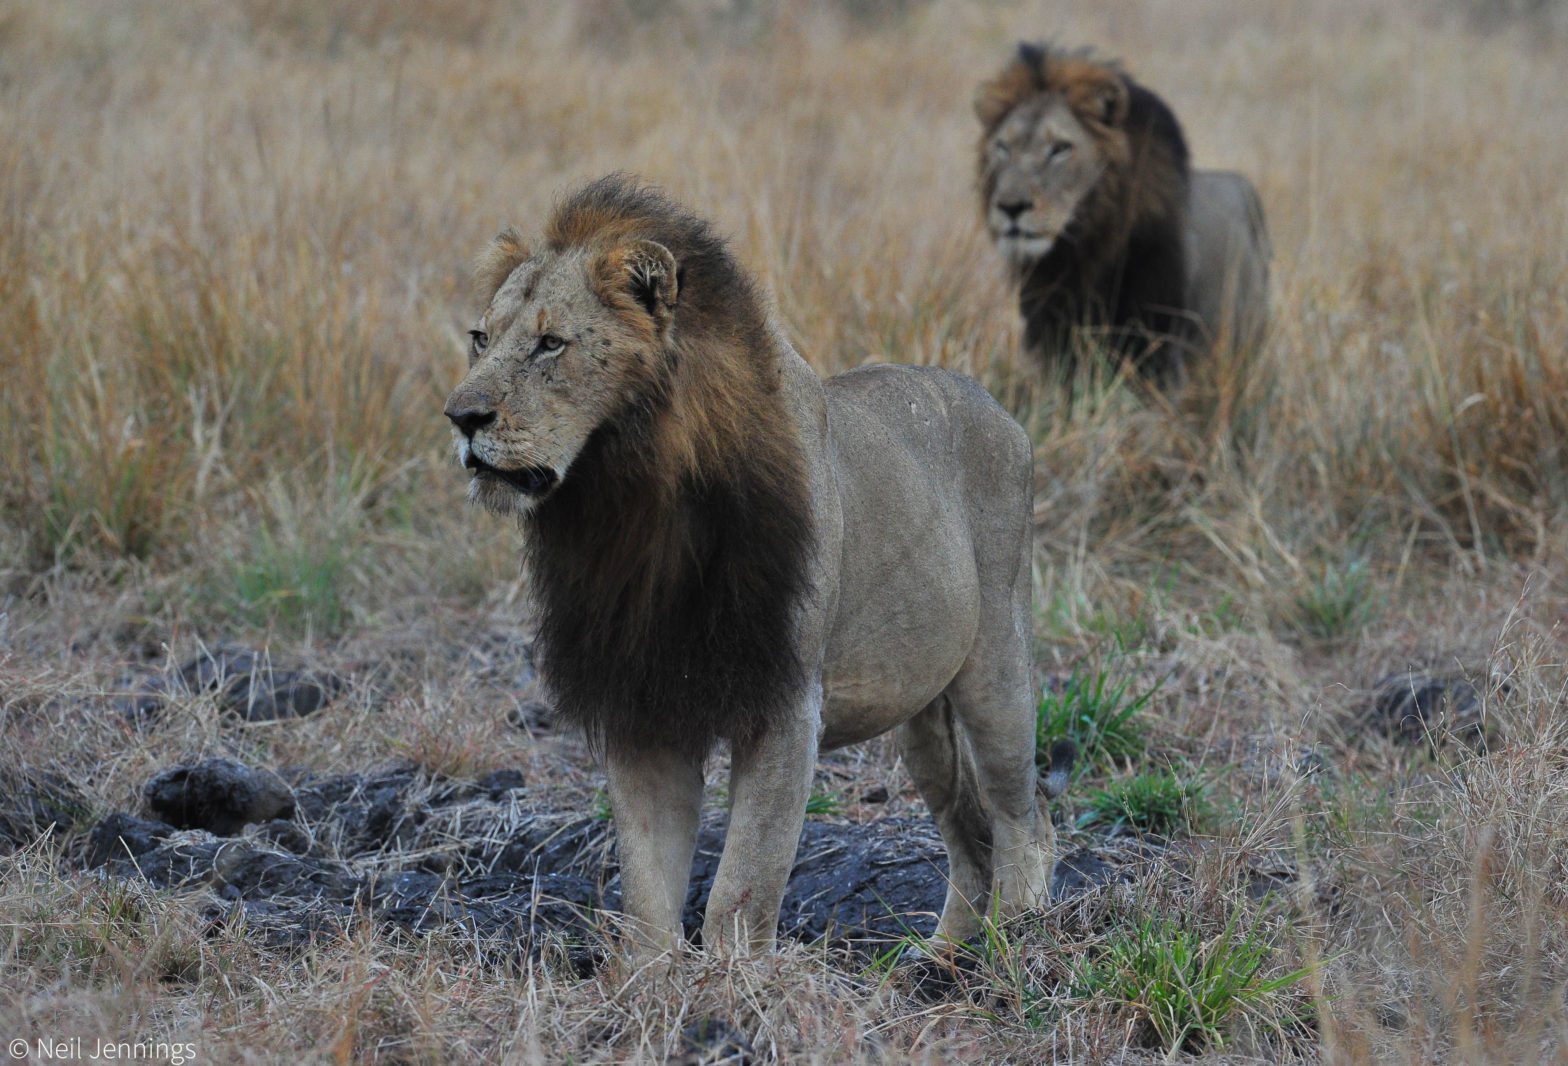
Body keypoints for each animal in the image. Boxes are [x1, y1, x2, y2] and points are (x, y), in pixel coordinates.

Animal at [448, 174, 1072, 959]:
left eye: (550, 343)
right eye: (481, 338)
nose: (460, 417)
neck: (631, 504)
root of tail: (998, 406)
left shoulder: (785, 703)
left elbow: (741, 891)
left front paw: (731, 981)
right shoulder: (641, 705)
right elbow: (648, 895)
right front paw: (648, 985)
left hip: (997, 667)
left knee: (1023, 811)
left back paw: (1016, 940)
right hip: (922, 717)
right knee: (970, 833)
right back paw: (940, 957)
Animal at [972, 46, 1266, 387]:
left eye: (1060, 148)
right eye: (1002, 147)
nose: (1011, 207)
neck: (1082, 252)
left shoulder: (1157, 342)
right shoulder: (1051, 331)